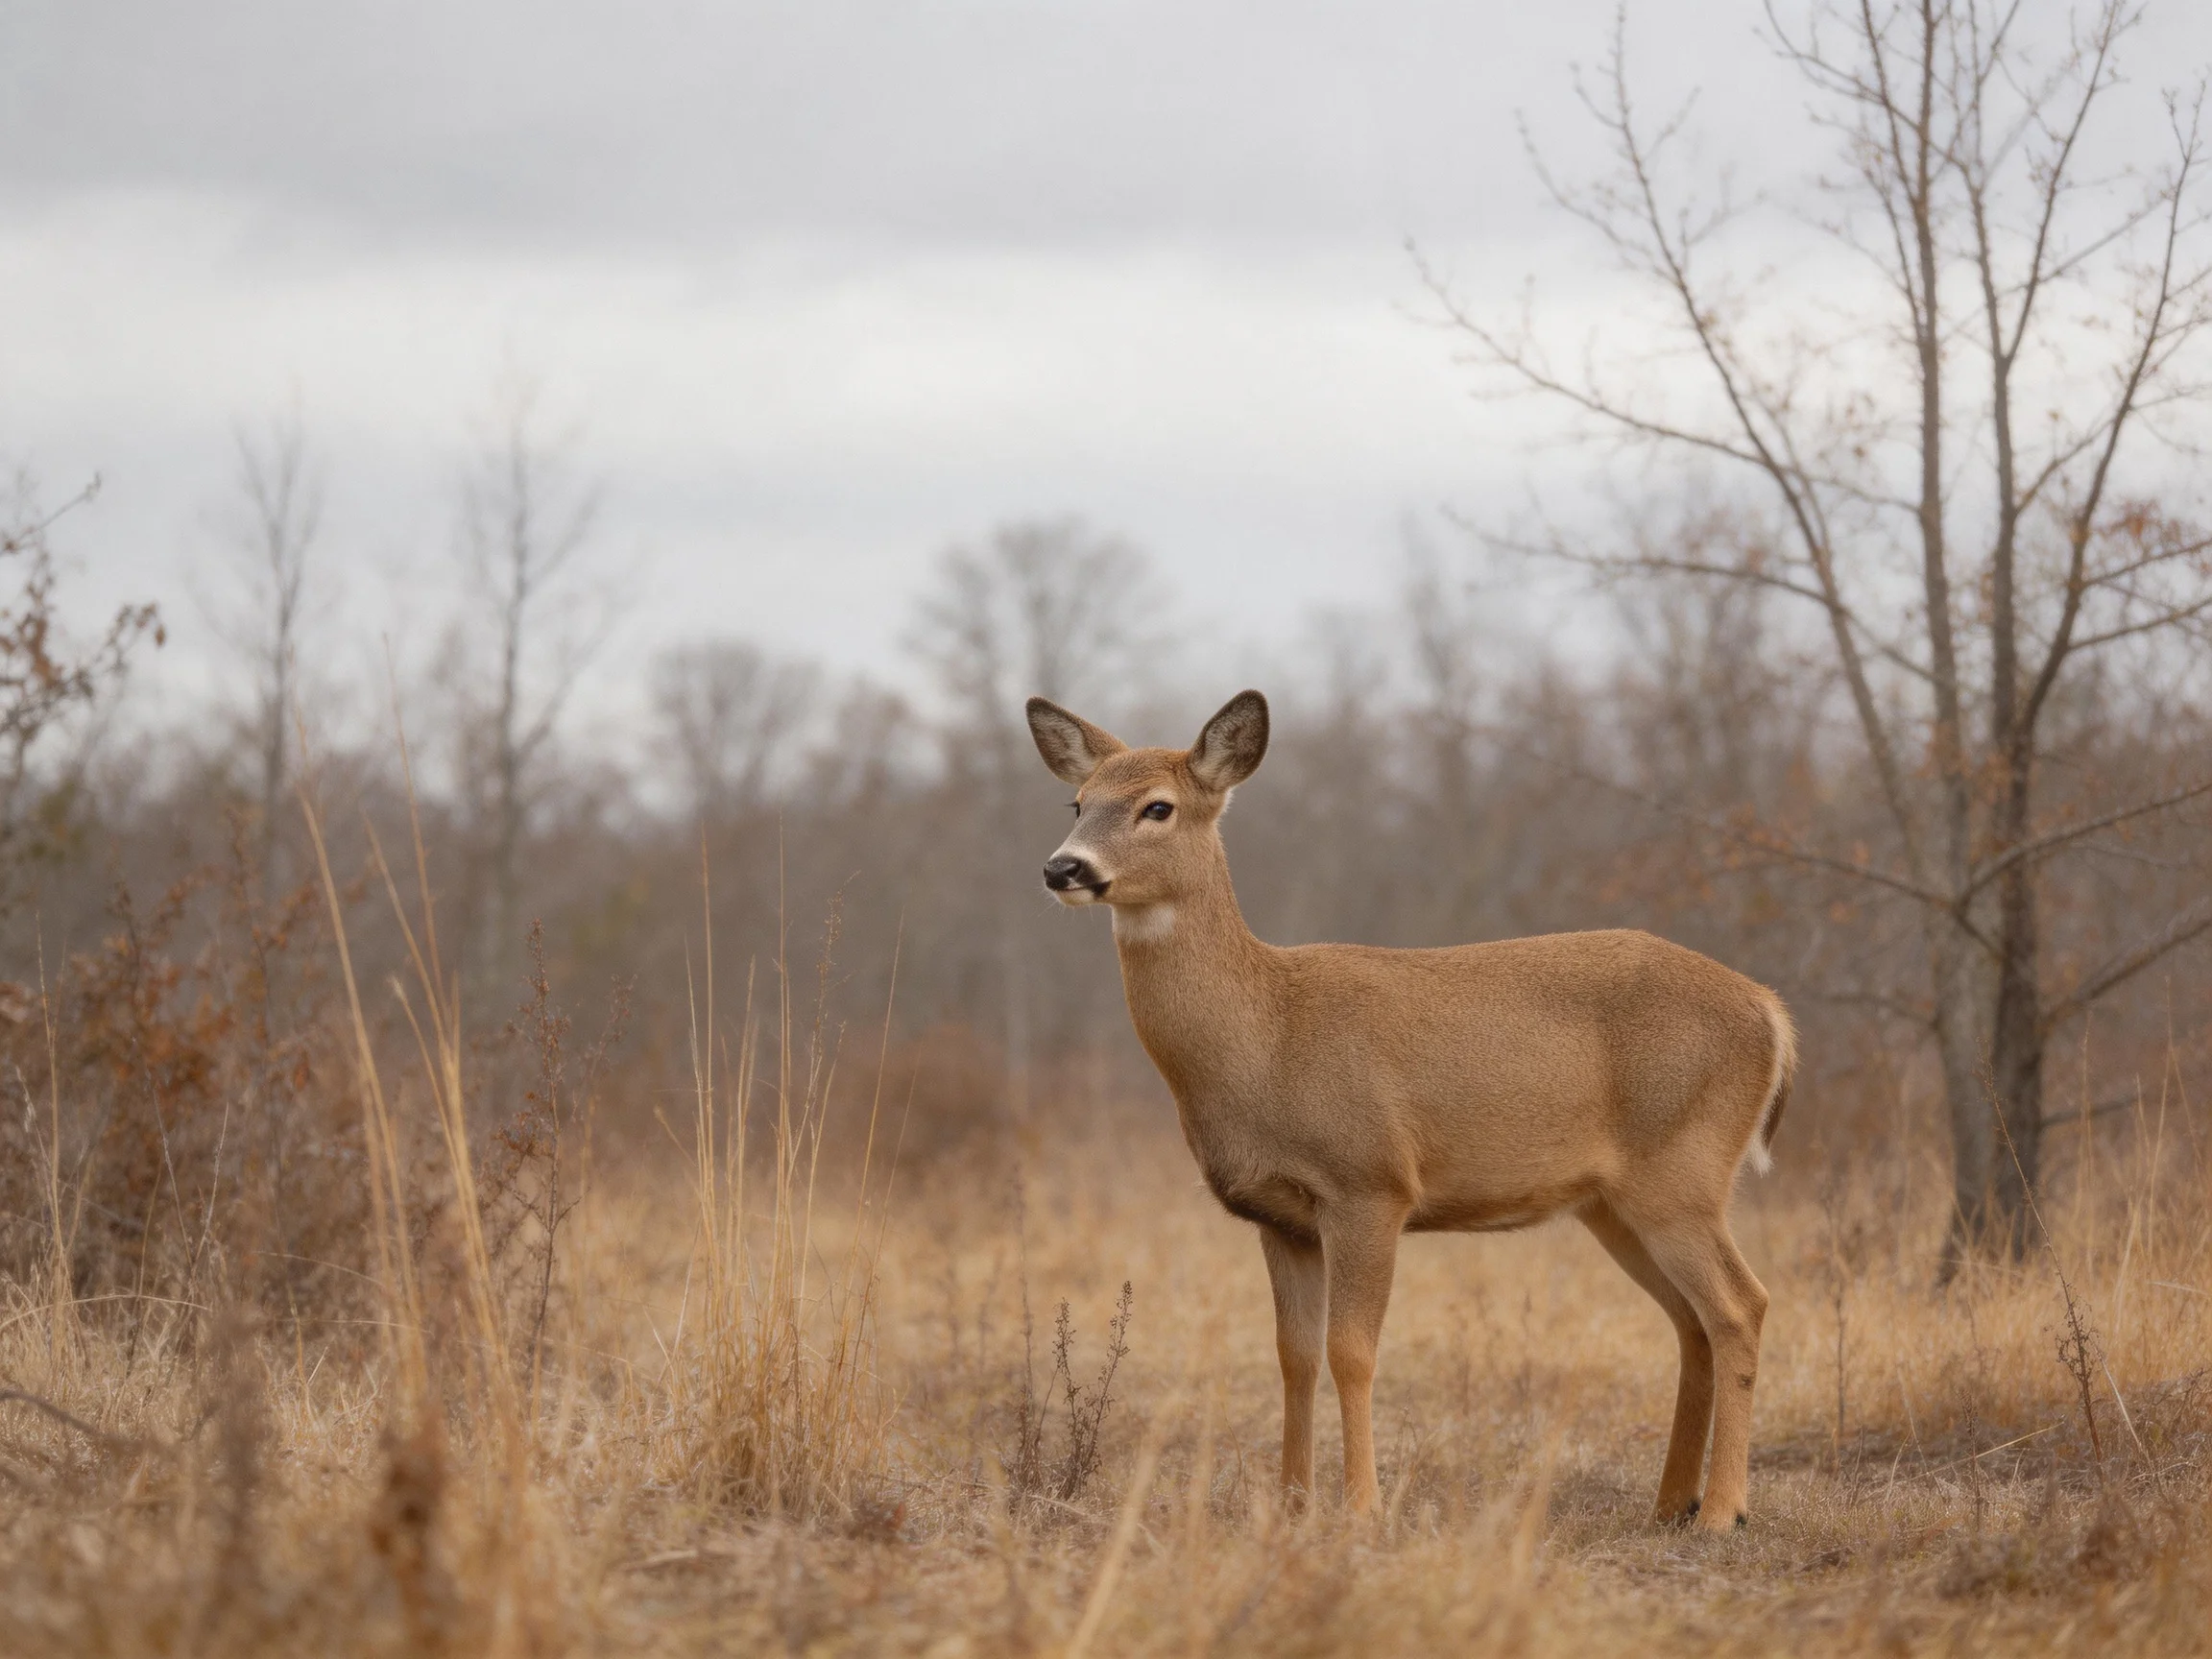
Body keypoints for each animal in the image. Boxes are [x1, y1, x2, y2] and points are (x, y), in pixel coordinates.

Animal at [1027, 689, 1794, 1530]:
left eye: (1157, 807)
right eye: (1078, 801)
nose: (1063, 867)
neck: (1267, 1036)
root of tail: (1770, 1011)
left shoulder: (1370, 1182)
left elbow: (1351, 1351)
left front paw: (1362, 1507)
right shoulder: (1279, 1217)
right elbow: (1293, 1356)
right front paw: (1292, 1503)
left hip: (1682, 1170)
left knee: (1740, 1306)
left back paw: (1723, 1511)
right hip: (1614, 1202)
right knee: (1691, 1322)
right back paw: (1669, 1504)